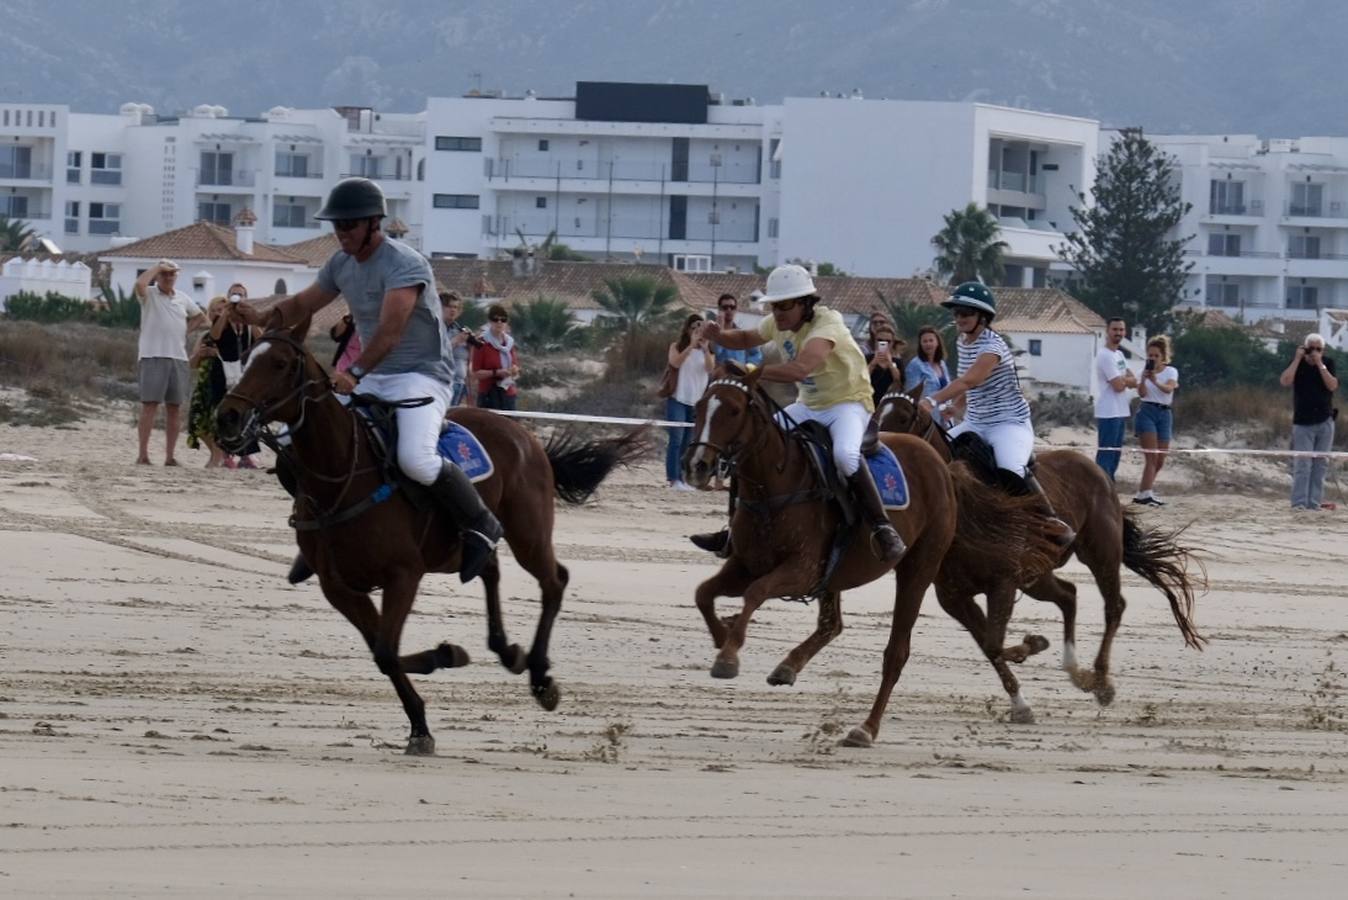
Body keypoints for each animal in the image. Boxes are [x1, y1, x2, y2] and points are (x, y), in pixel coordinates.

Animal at [215, 319, 647, 754]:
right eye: (246, 356)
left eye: (281, 364)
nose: (228, 416)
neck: (342, 476)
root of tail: (523, 433)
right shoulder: (339, 587)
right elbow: (381, 650)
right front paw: (424, 712)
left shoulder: (402, 575)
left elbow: (386, 652)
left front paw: (442, 667)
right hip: (456, 548)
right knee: (488, 566)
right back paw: (507, 651)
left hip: (528, 534)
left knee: (553, 580)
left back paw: (540, 677)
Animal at [684, 366, 1062, 743]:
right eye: (700, 406)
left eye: (734, 410)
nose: (697, 465)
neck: (776, 487)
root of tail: (942, 466)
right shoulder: (746, 564)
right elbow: (704, 593)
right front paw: (722, 638)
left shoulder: (803, 569)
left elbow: (755, 592)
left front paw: (728, 656)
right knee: (833, 624)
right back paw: (789, 667)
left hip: (919, 568)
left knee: (897, 652)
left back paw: (866, 727)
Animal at [873, 379, 1213, 700]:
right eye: (876, 414)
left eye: (904, 417)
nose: (880, 451)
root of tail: (1099, 472)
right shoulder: (955, 595)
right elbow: (988, 644)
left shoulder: (1003, 582)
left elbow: (993, 643)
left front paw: (1031, 648)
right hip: (1036, 575)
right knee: (1069, 595)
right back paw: (1075, 669)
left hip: (1100, 553)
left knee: (1113, 605)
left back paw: (1100, 680)